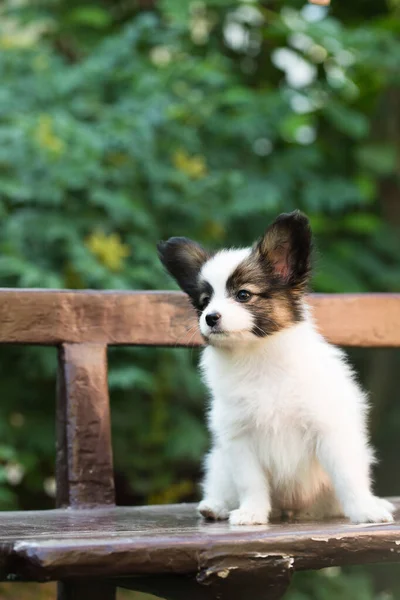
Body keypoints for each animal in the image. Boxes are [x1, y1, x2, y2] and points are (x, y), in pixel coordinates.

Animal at [157, 211, 394, 524]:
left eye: (243, 295)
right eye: (204, 302)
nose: (210, 317)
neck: (258, 358)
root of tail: (291, 510)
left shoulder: (329, 430)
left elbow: (347, 477)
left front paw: (365, 510)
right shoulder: (239, 438)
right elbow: (250, 482)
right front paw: (251, 513)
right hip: (220, 463)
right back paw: (216, 506)